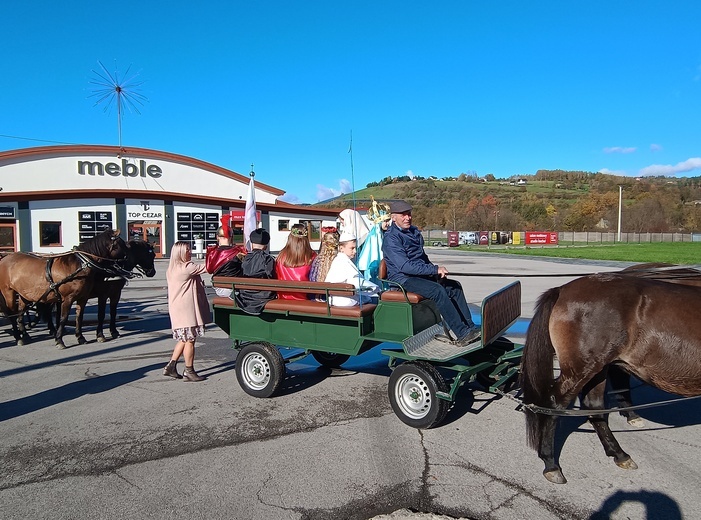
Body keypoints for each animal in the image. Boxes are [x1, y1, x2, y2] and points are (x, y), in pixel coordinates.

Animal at [520, 272, 700, 484]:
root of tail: (562, 289)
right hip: (583, 368)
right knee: (555, 403)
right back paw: (550, 462)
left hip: (599, 368)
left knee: (594, 406)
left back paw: (618, 453)